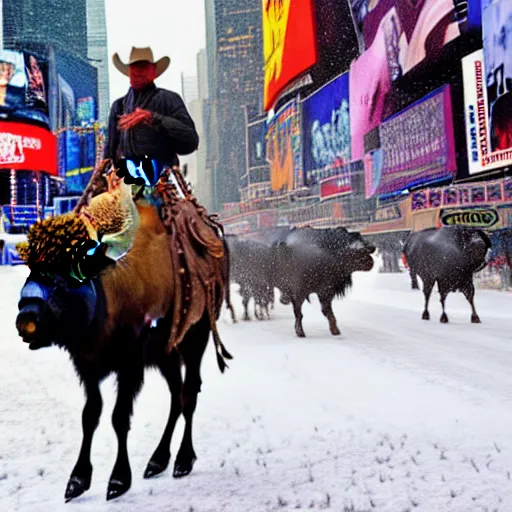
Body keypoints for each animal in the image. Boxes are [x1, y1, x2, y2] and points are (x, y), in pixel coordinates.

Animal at [15, 194, 232, 498]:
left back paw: (182, 460)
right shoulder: (88, 366)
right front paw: (77, 480)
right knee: (176, 396)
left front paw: (118, 480)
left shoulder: (129, 366)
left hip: (194, 341)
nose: (26, 320)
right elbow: (90, 415)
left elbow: (119, 417)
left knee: (189, 394)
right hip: (166, 357)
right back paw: (157, 461)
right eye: (31, 273)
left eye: (61, 280)